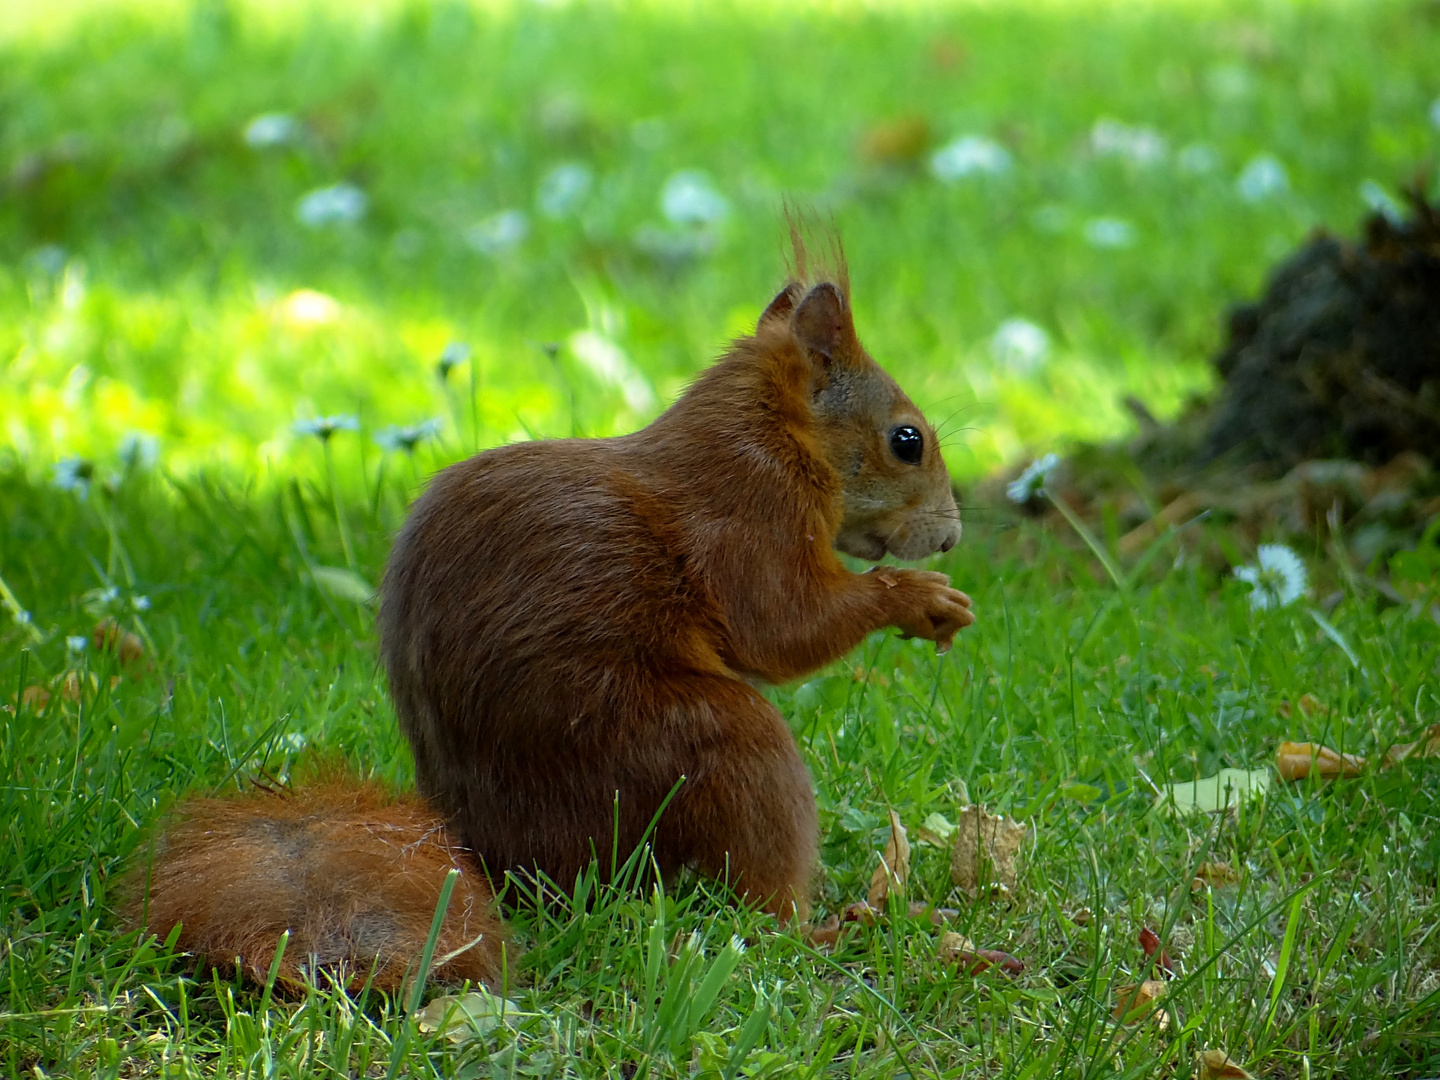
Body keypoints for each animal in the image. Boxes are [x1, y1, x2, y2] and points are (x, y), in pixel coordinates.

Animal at [126, 239, 979, 996]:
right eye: (907, 440)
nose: (950, 536)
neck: (773, 433)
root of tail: (501, 862)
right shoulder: (750, 514)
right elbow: (781, 626)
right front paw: (917, 598)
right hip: (701, 749)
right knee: (754, 894)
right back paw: (832, 924)